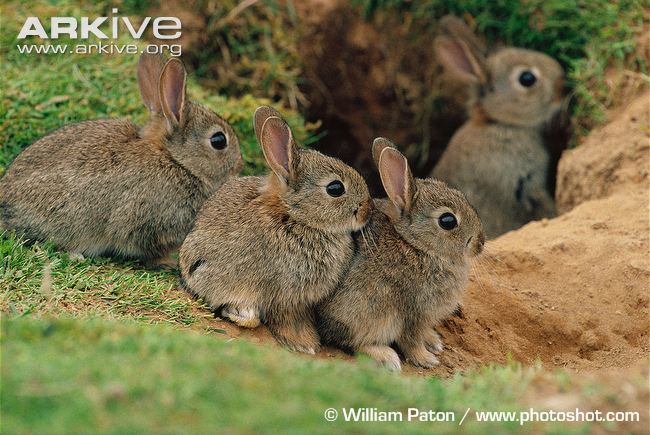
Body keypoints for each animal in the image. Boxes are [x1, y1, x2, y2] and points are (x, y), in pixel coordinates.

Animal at [317, 138, 484, 371]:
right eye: (448, 221)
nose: (480, 244)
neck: (417, 245)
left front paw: (433, 342)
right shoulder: (413, 313)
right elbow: (411, 340)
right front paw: (426, 359)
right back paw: (385, 357)